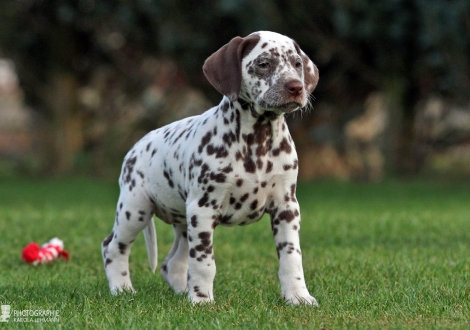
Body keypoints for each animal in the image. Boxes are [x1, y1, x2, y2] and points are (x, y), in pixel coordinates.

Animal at [102, 30, 320, 304]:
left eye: (297, 64)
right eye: (264, 64)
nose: (296, 87)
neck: (257, 142)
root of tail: (136, 147)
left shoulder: (286, 207)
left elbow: (291, 257)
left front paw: (298, 297)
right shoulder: (203, 208)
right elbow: (204, 262)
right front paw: (201, 300)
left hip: (184, 223)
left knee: (172, 263)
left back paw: (181, 292)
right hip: (135, 210)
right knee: (113, 247)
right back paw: (122, 289)